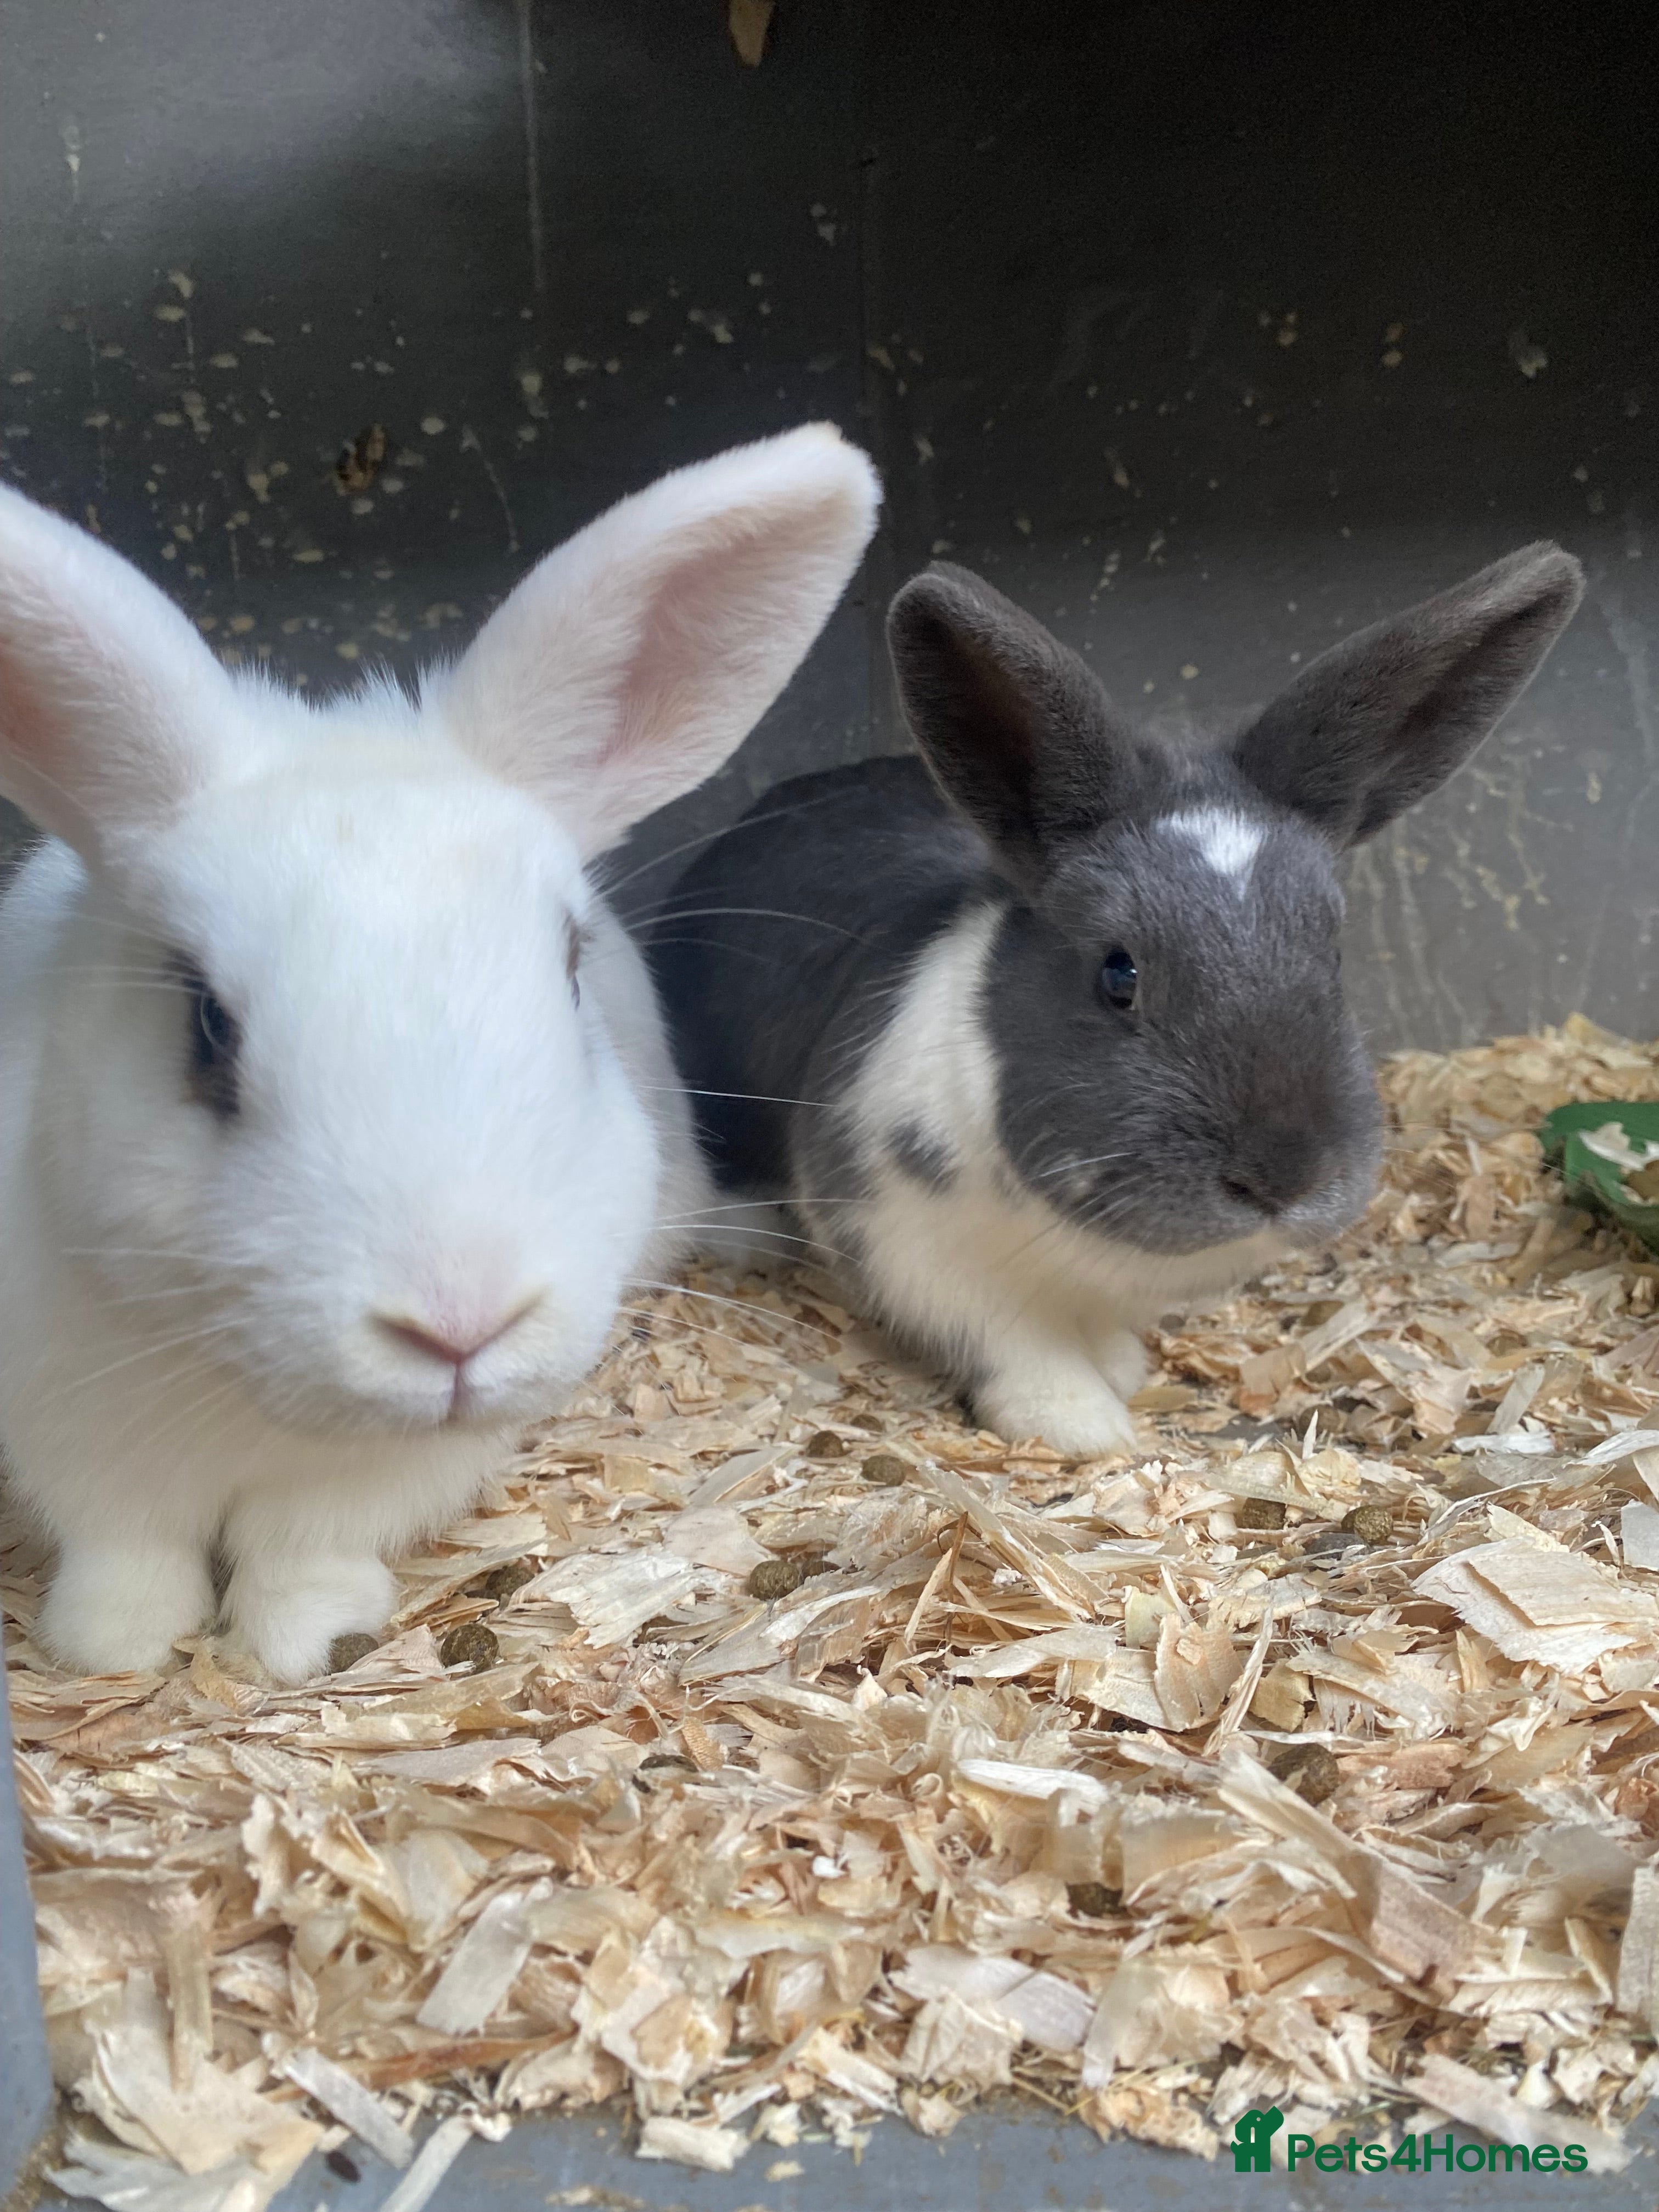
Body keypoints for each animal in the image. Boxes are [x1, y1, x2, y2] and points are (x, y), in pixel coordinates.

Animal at [0, 422, 880, 1681]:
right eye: (206, 1025)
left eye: (569, 968)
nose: (458, 1326)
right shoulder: (70, 1432)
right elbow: (126, 1547)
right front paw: (112, 1646)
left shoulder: (372, 1477)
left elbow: (303, 1549)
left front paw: (303, 1641)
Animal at [651, 543, 1583, 1458]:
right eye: (1118, 974)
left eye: (1336, 952)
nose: (1284, 1181)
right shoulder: (911, 1244)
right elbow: (1014, 1348)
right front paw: (1081, 1424)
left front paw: (1122, 1367)